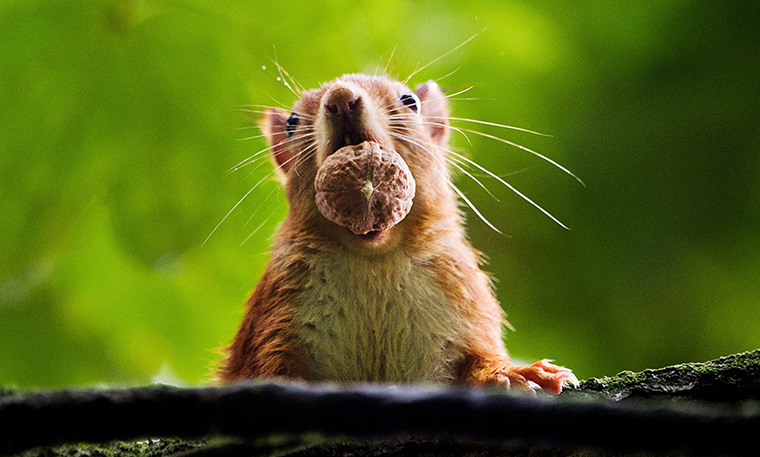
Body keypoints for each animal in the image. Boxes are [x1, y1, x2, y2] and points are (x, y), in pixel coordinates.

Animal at [220, 73, 576, 394]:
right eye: (292, 122)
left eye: (410, 101)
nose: (341, 98)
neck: (374, 261)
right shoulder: (277, 309)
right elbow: (265, 367)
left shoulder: (463, 297)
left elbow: (477, 360)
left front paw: (517, 373)